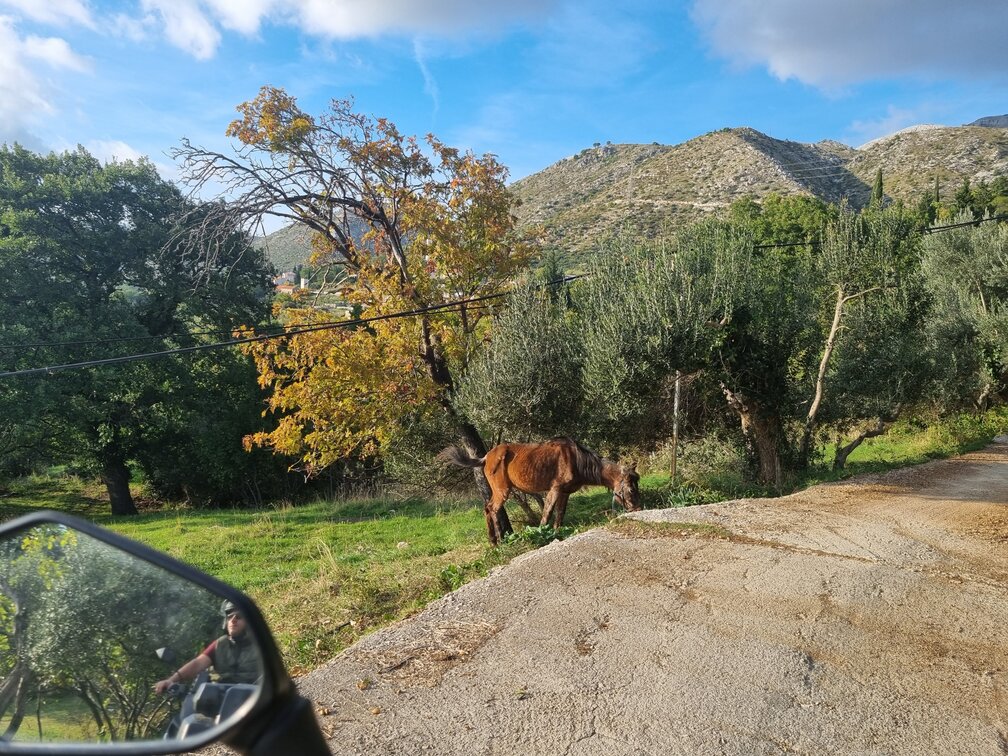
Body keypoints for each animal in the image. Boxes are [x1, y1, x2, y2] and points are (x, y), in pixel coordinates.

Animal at [437, 437, 640, 545]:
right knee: (493, 509)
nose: (638, 509)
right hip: (502, 489)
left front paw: (557, 533)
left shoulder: (565, 492)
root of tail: (485, 458)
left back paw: (493, 541)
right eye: (631, 489)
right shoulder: (555, 488)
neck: (578, 461)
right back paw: (501, 541)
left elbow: (559, 515)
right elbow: (547, 513)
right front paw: (542, 535)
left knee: (487, 508)